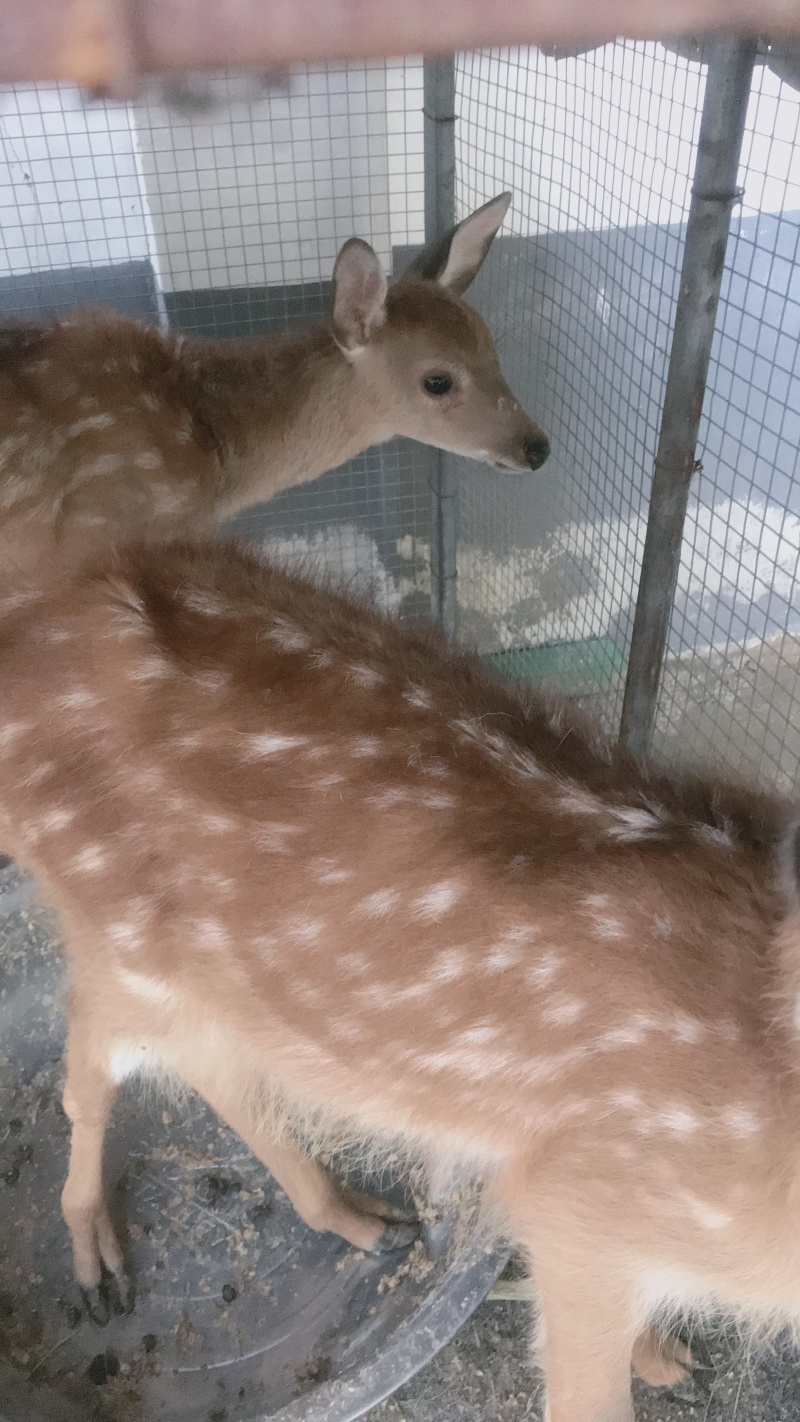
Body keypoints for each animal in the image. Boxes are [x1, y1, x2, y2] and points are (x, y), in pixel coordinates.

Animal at [3, 535, 799, 1421]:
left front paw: (661, 1354)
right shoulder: (584, 1203)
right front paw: (657, 1357)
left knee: (209, 1063)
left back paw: (361, 1219)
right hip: (123, 934)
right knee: (92, 1042)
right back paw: (94, 1258)